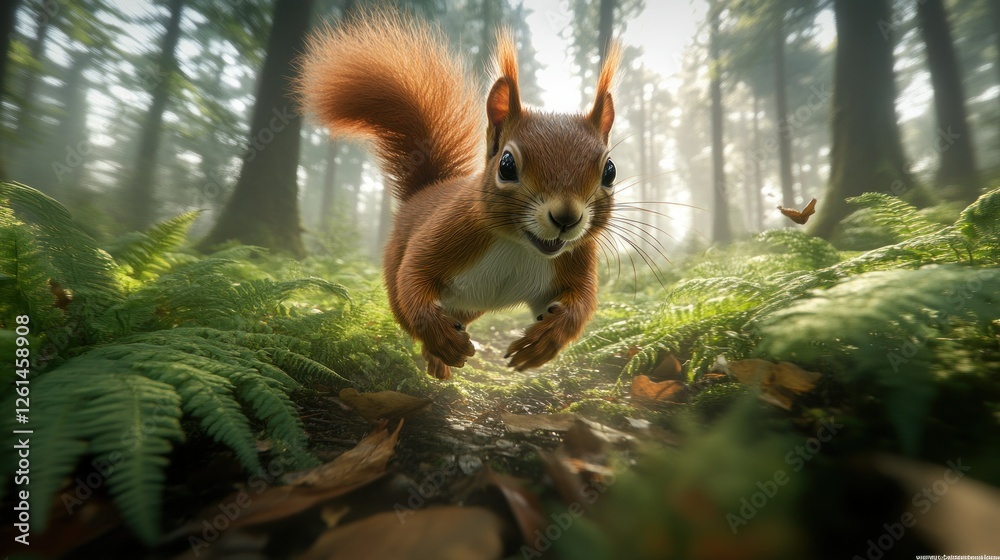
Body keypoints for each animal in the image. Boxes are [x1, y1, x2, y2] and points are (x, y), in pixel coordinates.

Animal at [299, 12, 620, 379]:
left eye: (610, 171)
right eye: (506, 165)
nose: (566, 218)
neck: (518, 245)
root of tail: (424, 192)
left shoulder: (572, 261)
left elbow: (580, 304)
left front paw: (541, 343)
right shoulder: (447, 233)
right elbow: (415, 278)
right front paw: (443, 342)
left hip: (468, 307)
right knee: (407, 310)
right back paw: (438, 354)